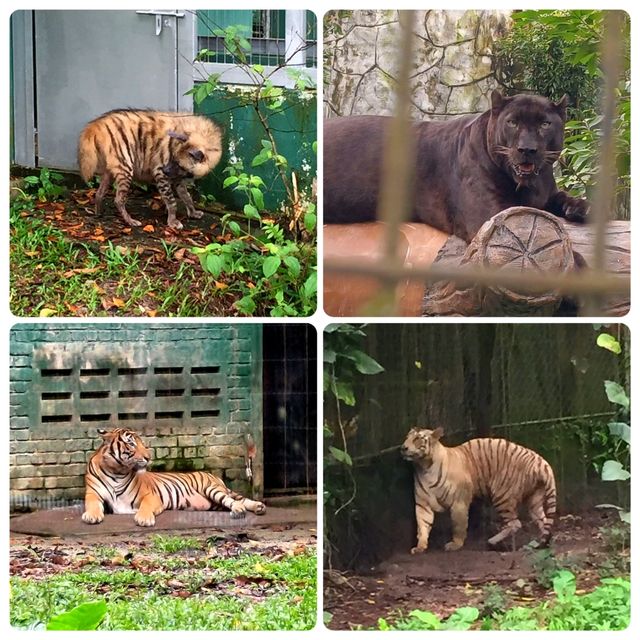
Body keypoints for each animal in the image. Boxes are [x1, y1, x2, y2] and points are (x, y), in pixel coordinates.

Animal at [77, 109, 224, 230]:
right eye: (173, 158)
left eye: (178, 164)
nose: (166, 170)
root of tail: (98, 124)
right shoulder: (160, 173)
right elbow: (172, 201)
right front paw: (173, 222)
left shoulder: (178, 177)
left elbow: (186, 196)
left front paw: (193, 213)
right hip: (126, 165)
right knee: (118, 199)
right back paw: (130, 221)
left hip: (110, 170)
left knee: (99, 192)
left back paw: (98, 213)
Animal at [83, 428, 268, 528]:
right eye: (131, 443)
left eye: (142, 443)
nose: (149, 457)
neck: (117, 471)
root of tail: (215, 477)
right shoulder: (93, 494)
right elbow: (92, 505)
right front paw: (91, 516)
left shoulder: (151, 496)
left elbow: (145, 506)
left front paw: (144, 519)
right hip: (214, 504)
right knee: (236, 500)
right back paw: (257, 507)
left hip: (211, 489)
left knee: (234, 500)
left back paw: (242, 510)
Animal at [400, 428, 556, 552]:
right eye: (407, 437)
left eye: (417, 439)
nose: (403, 448)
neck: (425, 467)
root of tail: (539, 461)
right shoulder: (422, 504)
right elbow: (422, 525)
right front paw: (420, 547)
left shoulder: (459, 502)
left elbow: (459, 525)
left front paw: (455, 545)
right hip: (534, 501)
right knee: (543, 521)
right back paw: (543, 544)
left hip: (502, 496)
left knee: (515, 523)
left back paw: (492, 541)